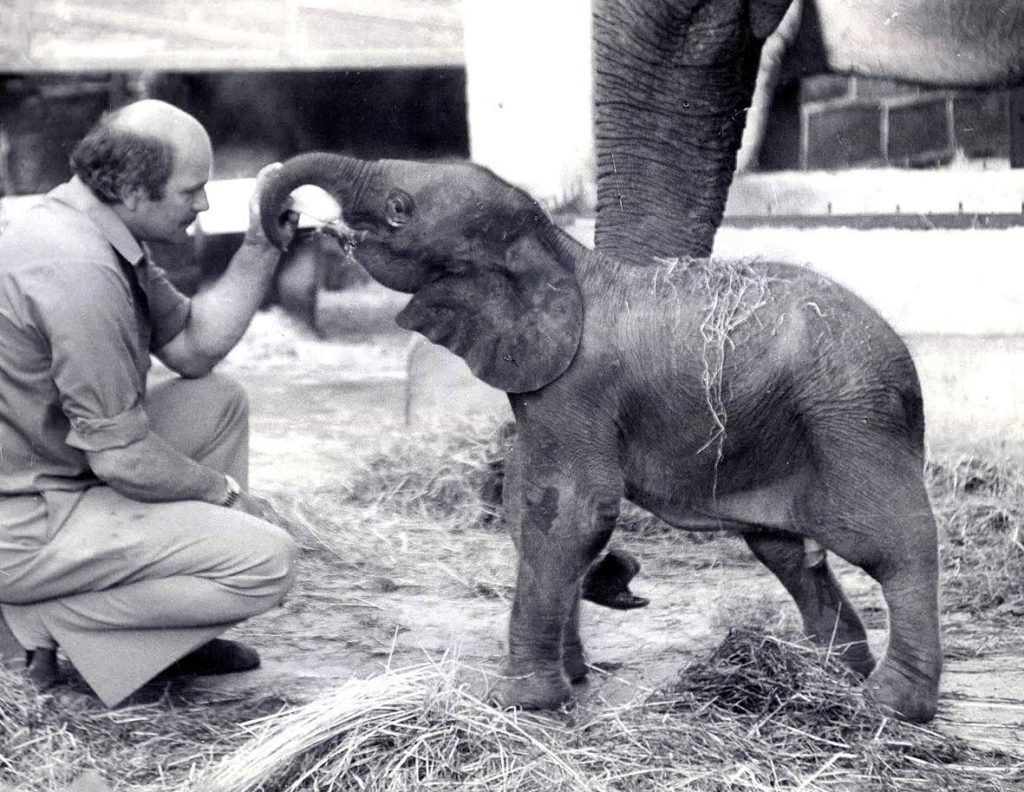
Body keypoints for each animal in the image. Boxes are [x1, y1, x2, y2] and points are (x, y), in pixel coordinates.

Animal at [262, 151, 942, 721]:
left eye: (399, 209)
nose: (287, 223)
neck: (560, 252)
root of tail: (907, 365)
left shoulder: (579, 387)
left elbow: (573, 508)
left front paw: (520, 702)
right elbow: (531, 504)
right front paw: (581, 656)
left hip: (850, 418)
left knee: (890, 542)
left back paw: (889, 705)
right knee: (785, 550)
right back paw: (832, 675)